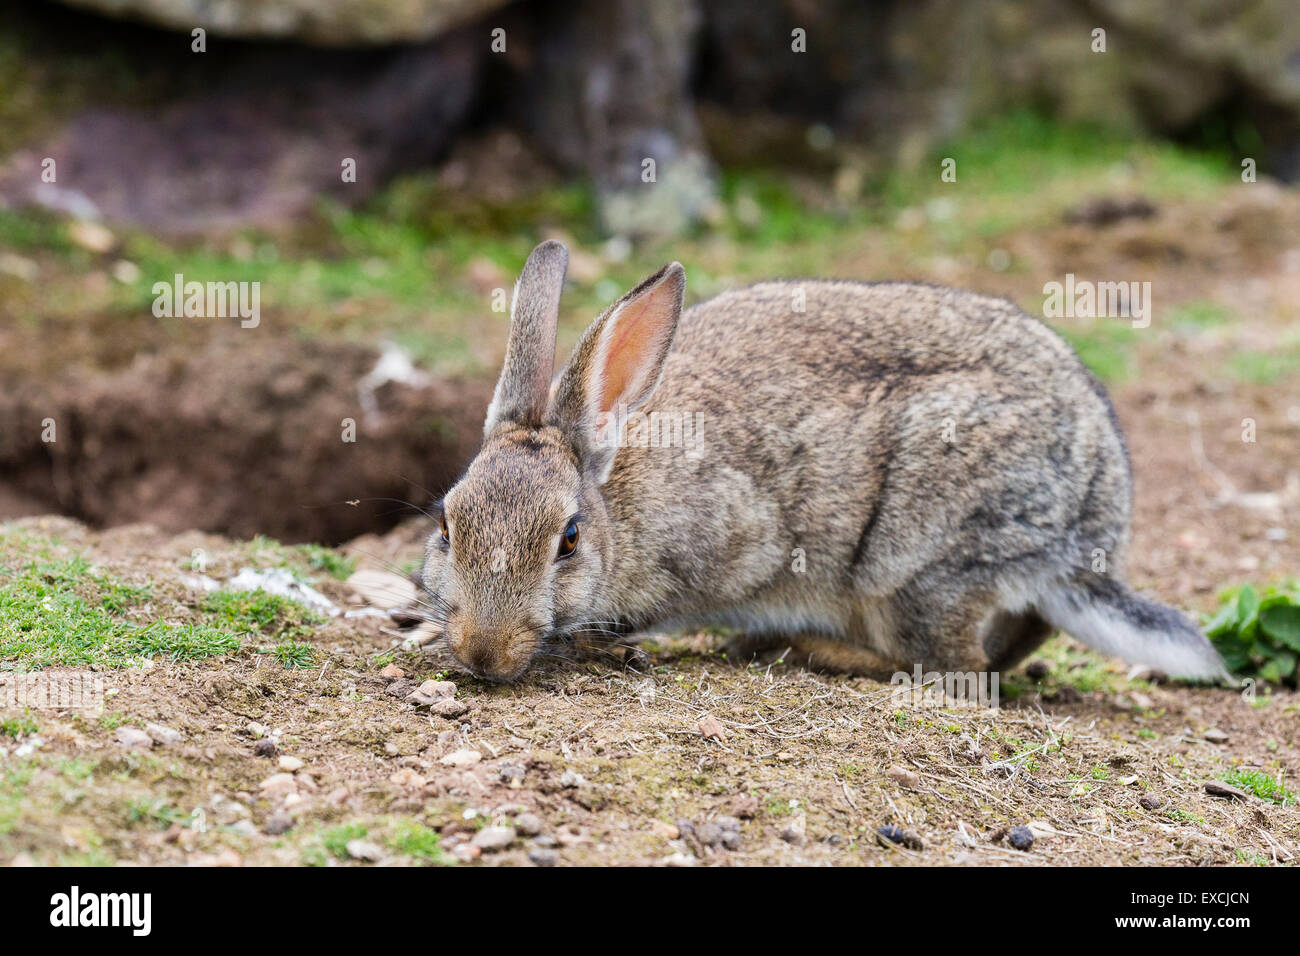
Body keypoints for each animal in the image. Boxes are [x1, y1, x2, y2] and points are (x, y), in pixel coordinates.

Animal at [420, 239, 1227, 684]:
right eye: (446, 527)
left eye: (568, 541)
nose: (483, 654)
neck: (614, 487)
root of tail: (1088, 539)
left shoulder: (741, 537)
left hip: (919, 560)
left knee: (951, 665)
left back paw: (800, 647)